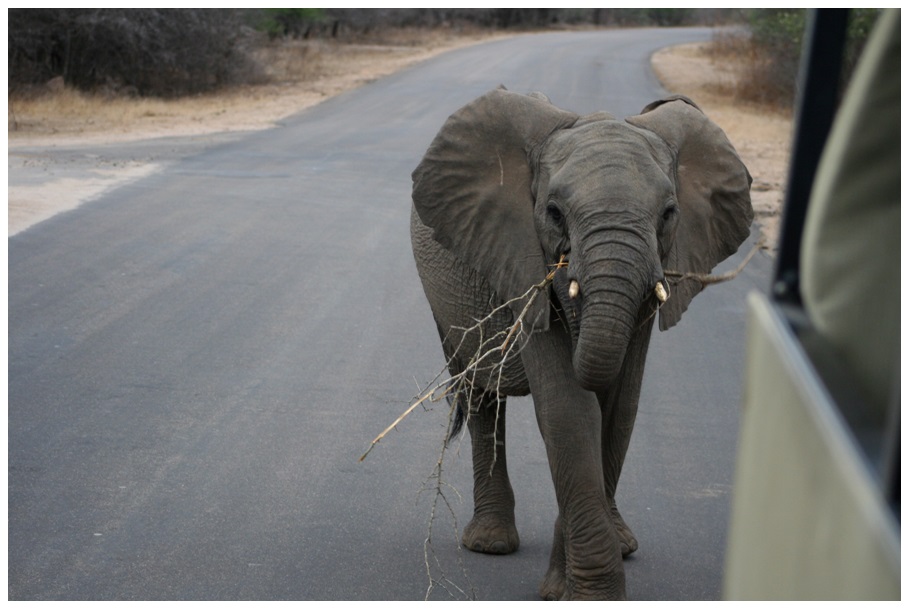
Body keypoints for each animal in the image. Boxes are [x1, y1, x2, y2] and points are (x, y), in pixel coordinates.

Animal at [410, 86, 752, 600]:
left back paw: (622, 541)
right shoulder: (521, 258)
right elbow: (568, 410)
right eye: (554, 213)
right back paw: (490, 543)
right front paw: (583, 592)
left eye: (669, 214)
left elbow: (618, 407)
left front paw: (564, 585)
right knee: (479, 393)